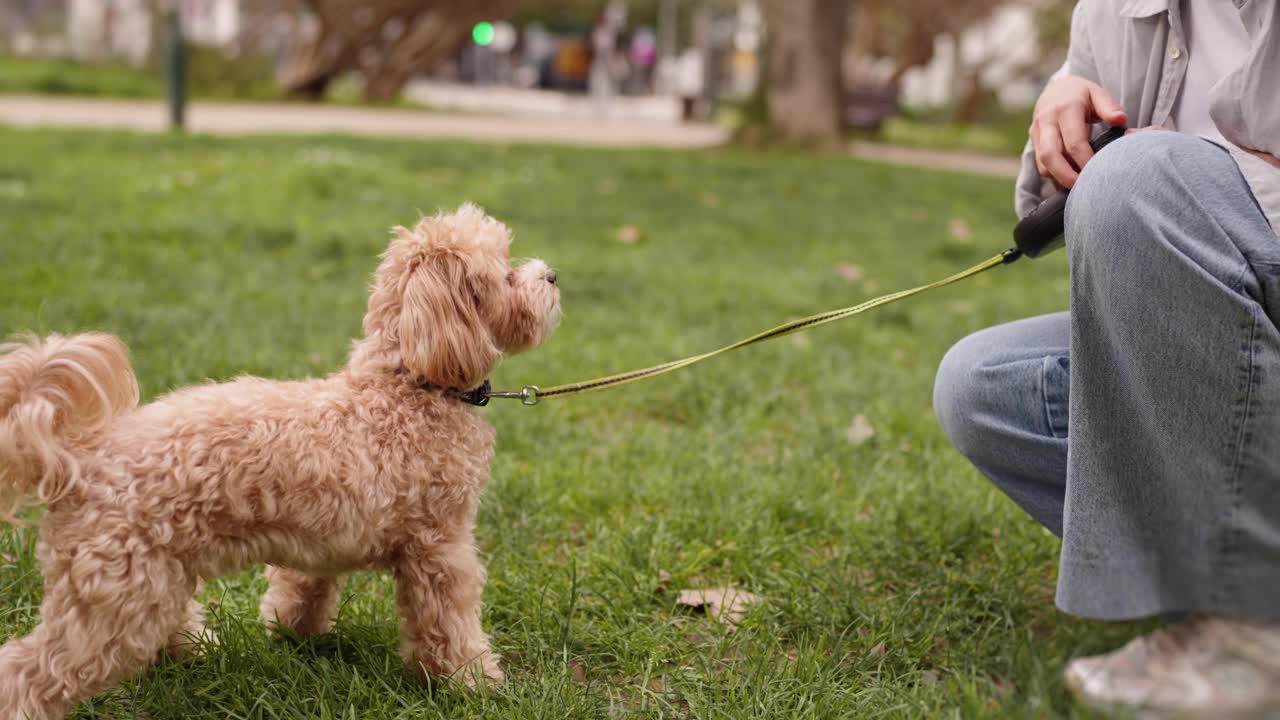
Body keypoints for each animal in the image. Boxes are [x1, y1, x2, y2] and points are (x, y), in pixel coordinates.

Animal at [0, 204, 560, 712]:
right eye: (505, 273)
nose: (552, 276)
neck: (409, 386)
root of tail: (80, 458)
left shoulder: (323, 540)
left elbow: (302, 591)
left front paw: (292, 633)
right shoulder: (440, 547)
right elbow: (451, 624)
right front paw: (474, 683)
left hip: (151, 578)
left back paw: (195, 650)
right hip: (117, 598)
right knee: (30, 669)